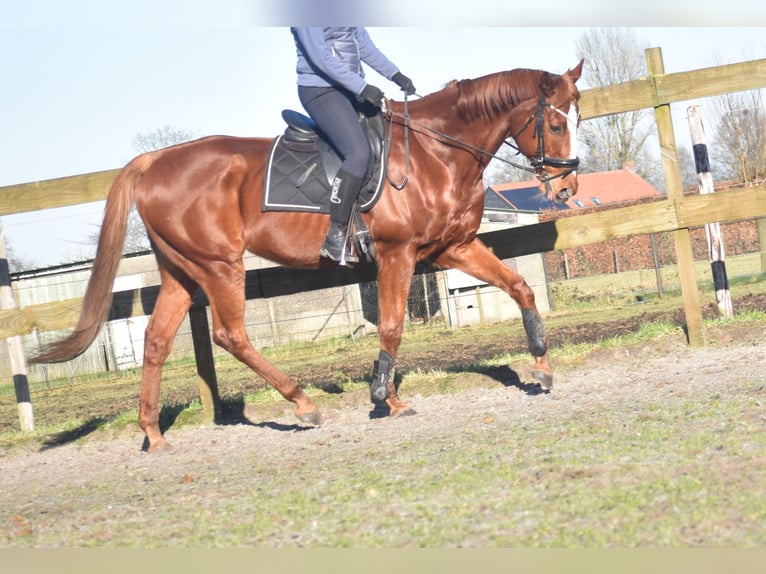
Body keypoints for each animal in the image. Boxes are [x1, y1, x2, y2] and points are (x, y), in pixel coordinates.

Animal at [33, 60, 584, 452]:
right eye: (557, 125)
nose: (567, 187)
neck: (436, 154)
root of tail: (156, 160)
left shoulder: (455, 246)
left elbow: (520, 287)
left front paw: (542, 365)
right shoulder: (398, 254)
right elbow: (391, 326)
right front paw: (387, 398)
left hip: (180, 271)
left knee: (156, 340)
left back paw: (154, 433)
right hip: (219, 265)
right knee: (230, 335)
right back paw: (302, 404)